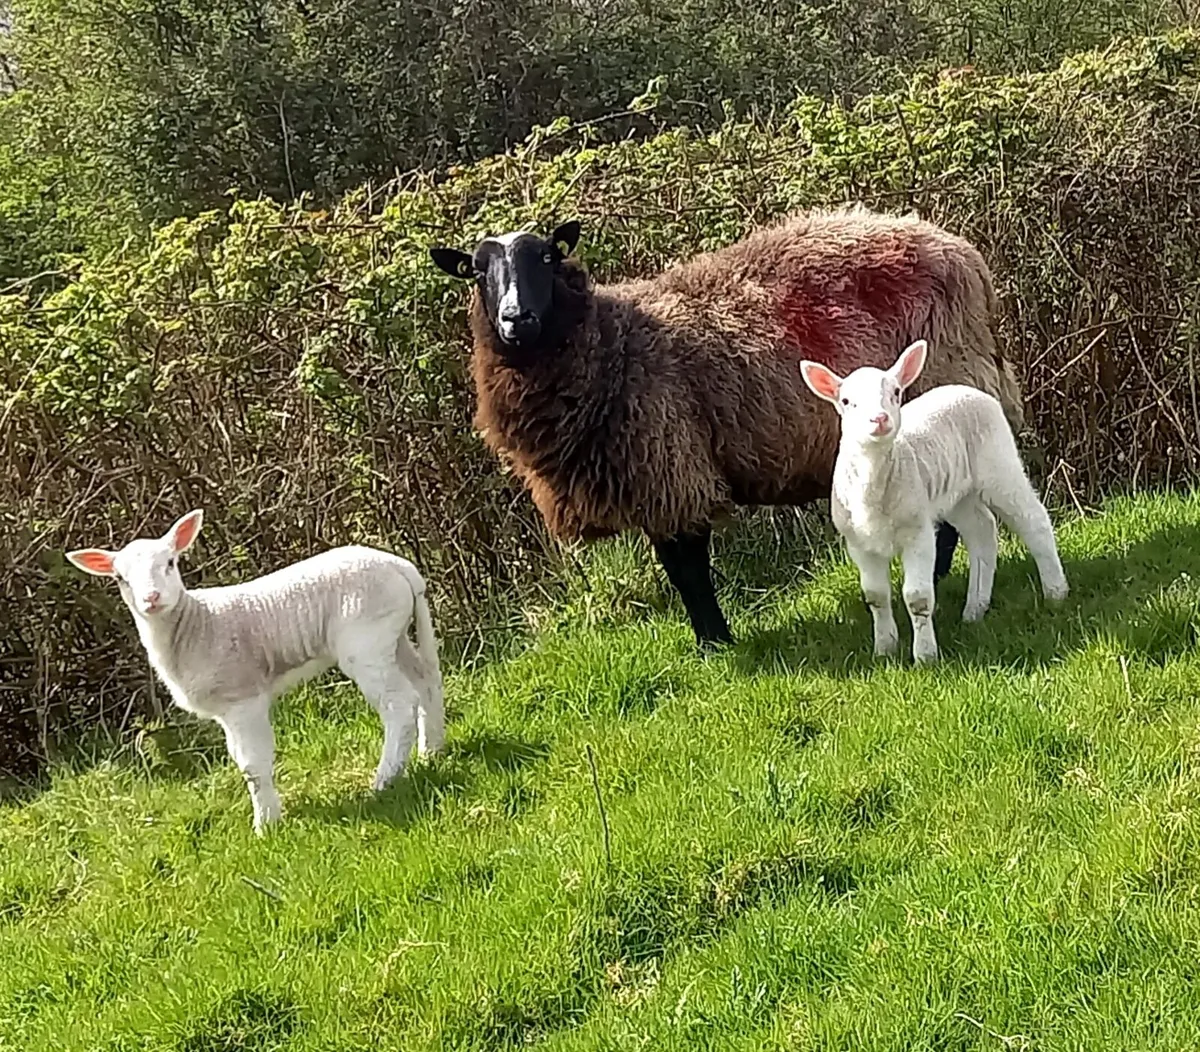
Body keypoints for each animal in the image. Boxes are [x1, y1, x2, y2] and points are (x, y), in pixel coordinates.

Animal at [66, 510, 444, 833]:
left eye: (170, 563)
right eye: (120, 578)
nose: (152, 599)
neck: (196, 625)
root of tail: (401, 567)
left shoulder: (242, 698)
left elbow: (252, 764)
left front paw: (266, 825)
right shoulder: (226, 710)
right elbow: (239, 759)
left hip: (366, 641)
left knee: (399, 703)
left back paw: (385, 779)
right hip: (392, 635)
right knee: (426, 680)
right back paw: (431, 750)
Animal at [429, 206, 1025, 650]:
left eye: (548, 257)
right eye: (477, 270)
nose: (516, 319)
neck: (616, 344)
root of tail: (961, 252)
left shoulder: (671, 469)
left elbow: (687, 569)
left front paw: (714, 644)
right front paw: (712, 643)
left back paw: (939, 578)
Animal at [800, 339, 1069, 663]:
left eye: (896, 392)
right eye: (847, 401)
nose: (879, 419)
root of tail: (966, 389)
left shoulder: (918, 532)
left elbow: (917, 597)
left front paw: (925, 656)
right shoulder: (859, 543)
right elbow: (876, 597)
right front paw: (884, 650)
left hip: (998, 461)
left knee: (1033, 520)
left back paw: (1056, 592)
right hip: (958, 494)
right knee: (982, 531)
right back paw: (974, 609)